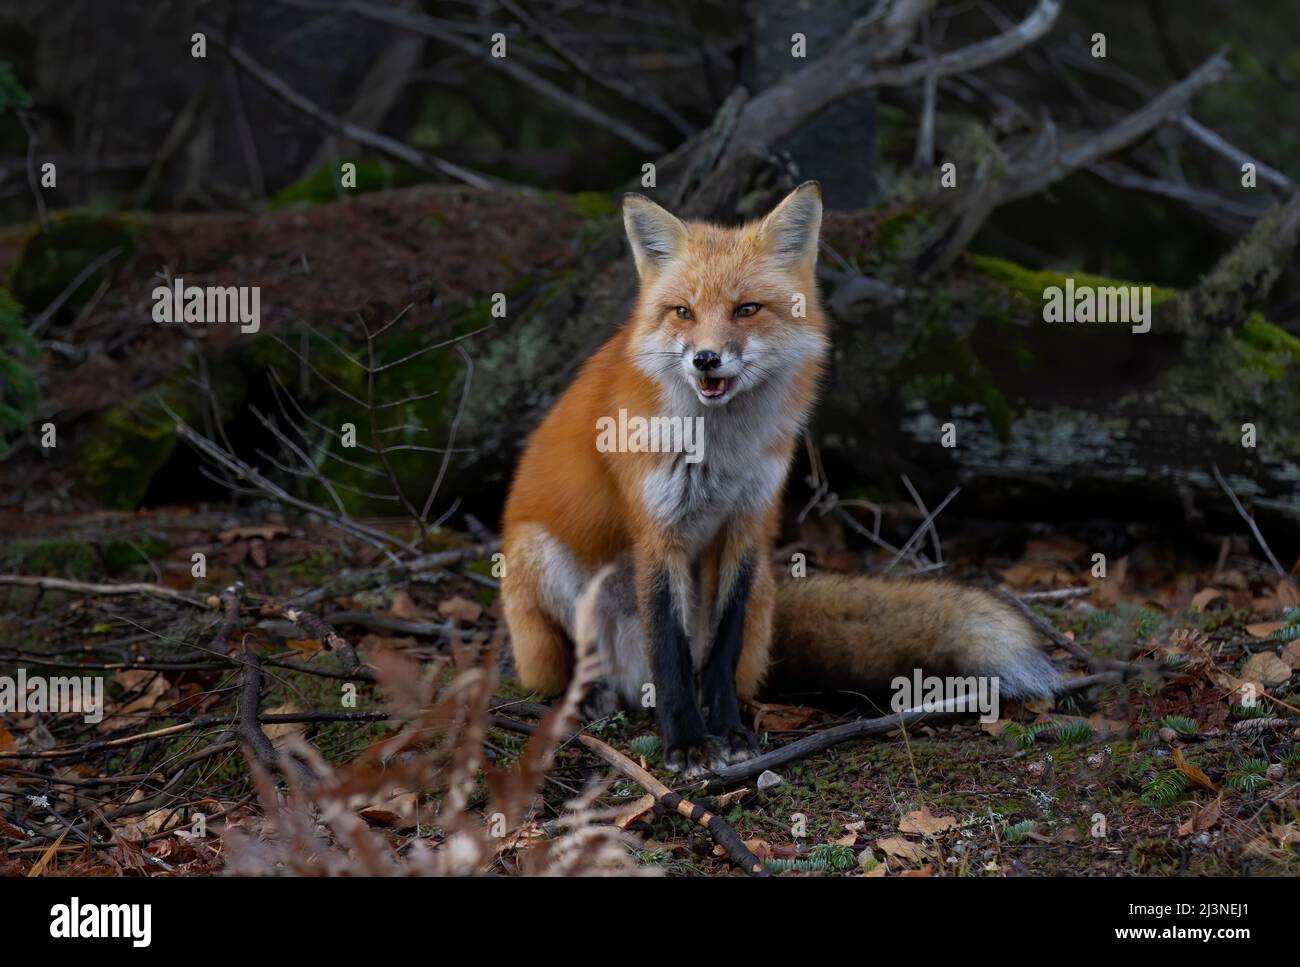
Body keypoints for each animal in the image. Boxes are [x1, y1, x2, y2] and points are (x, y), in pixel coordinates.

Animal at [502, 182, 1058, 778]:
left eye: (746, 309)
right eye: (683, 312)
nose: (705, 359)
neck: (720, 451)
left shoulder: (748, 523)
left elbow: (718, 652)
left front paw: (727, 732)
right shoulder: (658, 532)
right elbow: (672, 654)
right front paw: (686, 743)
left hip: (762, 595)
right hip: (539, 563)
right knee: (586, 670)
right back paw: (591, 700)